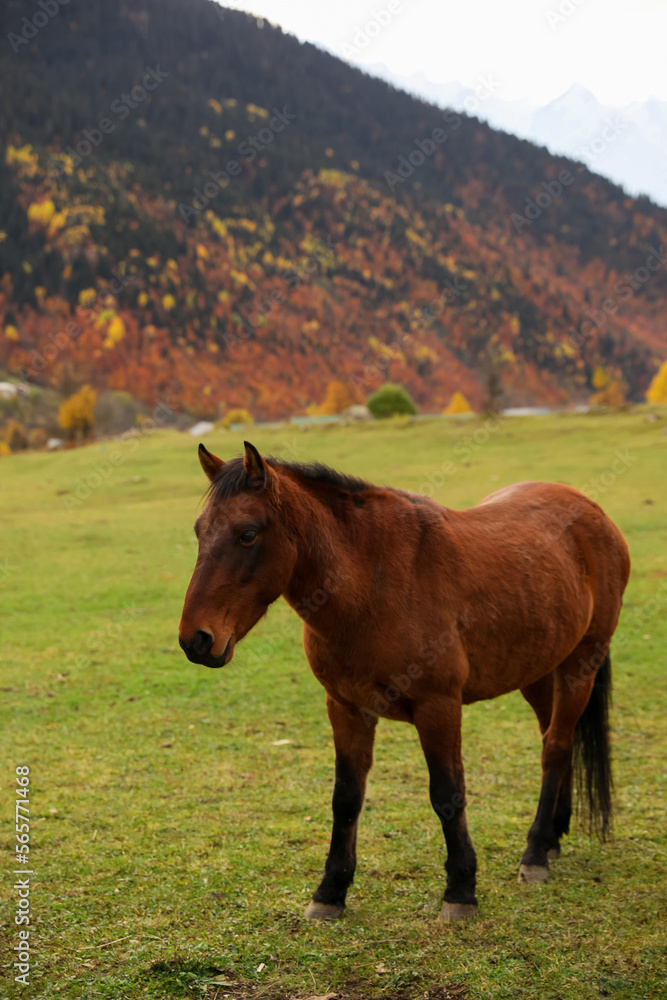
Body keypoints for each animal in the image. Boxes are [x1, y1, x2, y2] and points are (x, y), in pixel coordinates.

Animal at [179, 441, 630, 921]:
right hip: (539, 671)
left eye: (247, 534)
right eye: (200, 531)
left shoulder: (439, 707)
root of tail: (591, 510)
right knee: (556, 740)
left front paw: (460, 891)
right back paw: (553, 836)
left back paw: (536, 853)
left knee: (556, 747)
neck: (374, 586)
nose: (195, 640)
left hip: (580, 665)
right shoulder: (346, 707)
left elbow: (447, 794)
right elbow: (346, 798)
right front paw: (330, 892)